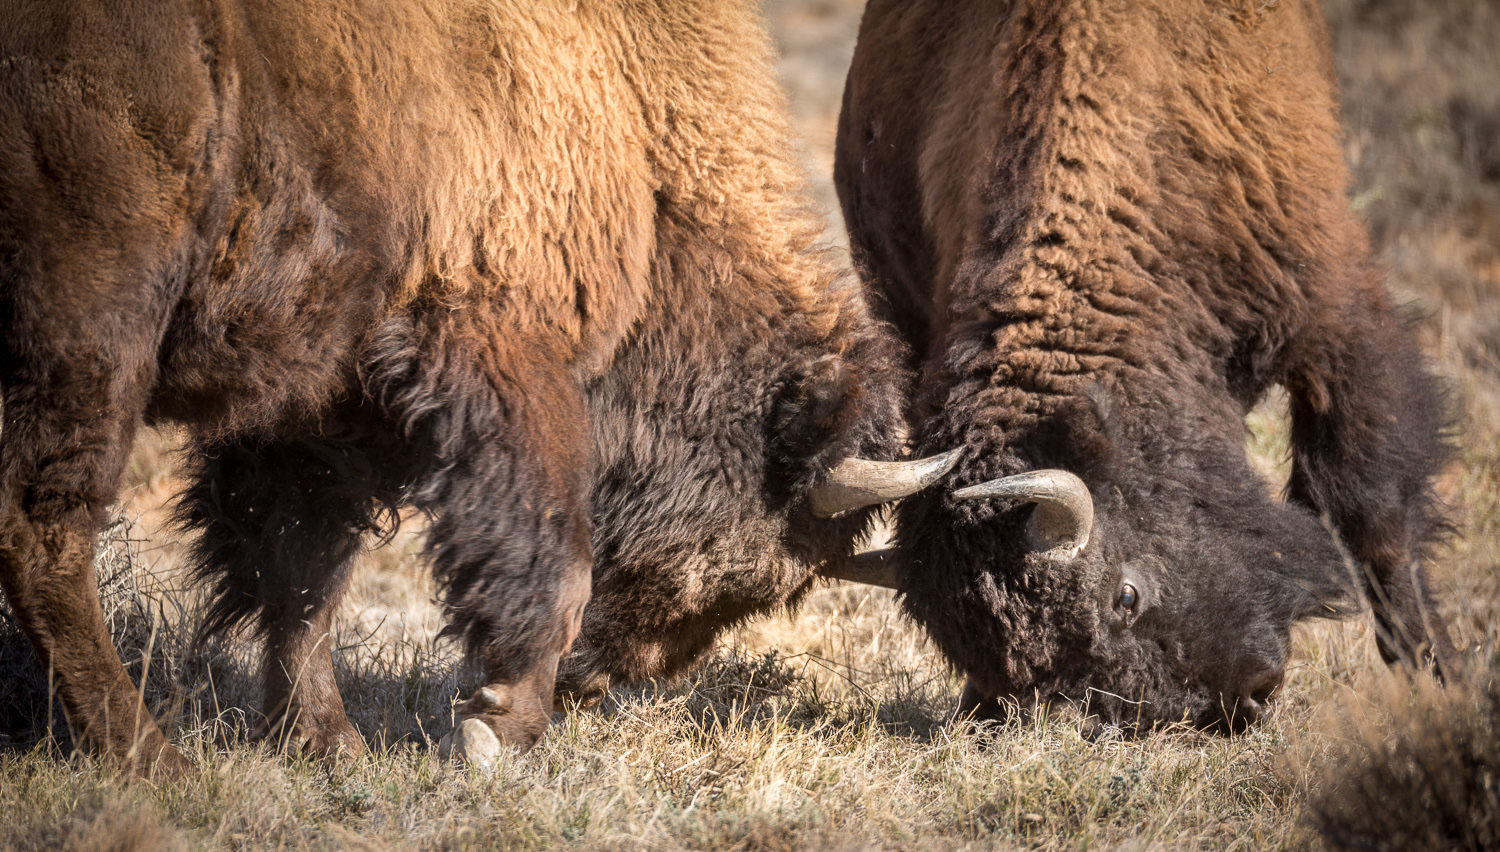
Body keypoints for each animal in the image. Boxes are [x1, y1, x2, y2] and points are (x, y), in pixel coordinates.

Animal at [0, 0, 956, 775]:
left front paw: (328, 745)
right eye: (754, 566)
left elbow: (301, 573)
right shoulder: (505, 359)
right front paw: (500, 731)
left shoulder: (316, 408)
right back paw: (147, 757)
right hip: (94, 328)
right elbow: (551, 554)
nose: (591, 687)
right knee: (43, 530)